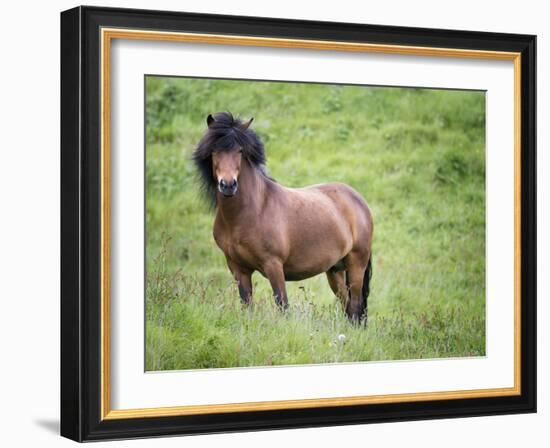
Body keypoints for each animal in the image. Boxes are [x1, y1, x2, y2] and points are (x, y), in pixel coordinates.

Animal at [194, 112, 376, 322]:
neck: (250, 212)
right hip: (335, 270)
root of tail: (358, 200)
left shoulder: (273, 265)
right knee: (346, 306)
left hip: (356, 264)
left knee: (354, 306)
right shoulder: (238, 269)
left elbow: (282, 305)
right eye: (214, 150)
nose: (228, 185)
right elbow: (247, 305)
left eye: (240, 151)